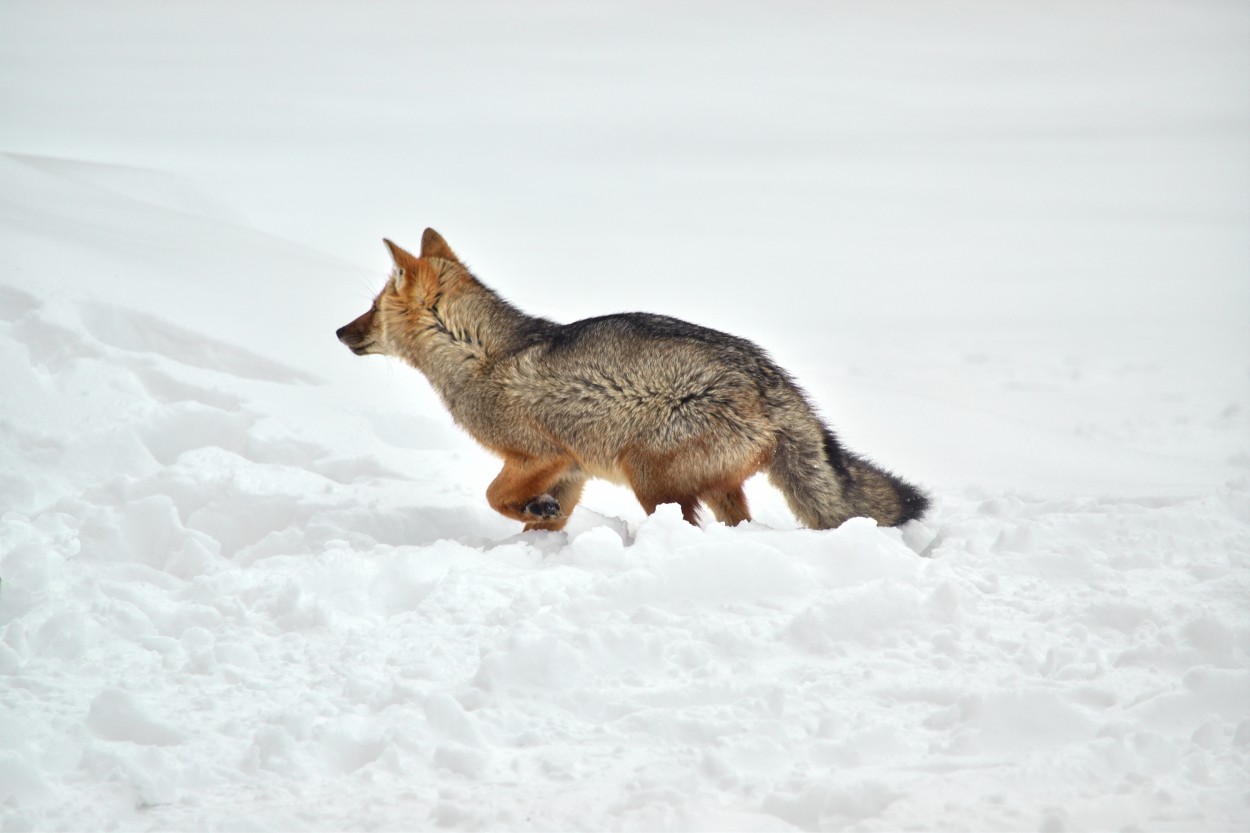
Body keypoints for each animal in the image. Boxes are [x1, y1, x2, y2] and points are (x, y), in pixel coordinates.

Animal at [335, 225, 930, 532]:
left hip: (648, 480)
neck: (479, 356)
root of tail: (771, 378)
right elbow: (537, 520)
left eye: (373, 307)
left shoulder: (539, 455)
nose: (339, 331)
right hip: (713, 491)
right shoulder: (570, 472)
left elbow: (493, 496)